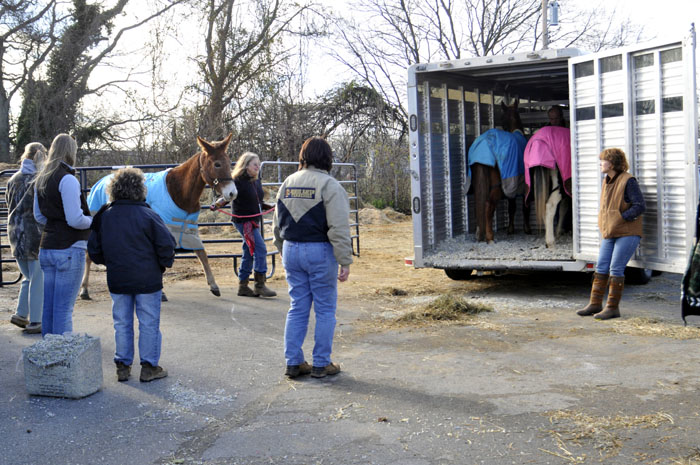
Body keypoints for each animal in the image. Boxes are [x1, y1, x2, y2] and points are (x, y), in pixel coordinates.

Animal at [79, 134, 238, 300]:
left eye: (229, 162)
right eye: (217, 164)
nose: (232, 193)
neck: (180, 190)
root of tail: (97, 184)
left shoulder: (189, 229)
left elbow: (202, 253)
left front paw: (214, 286)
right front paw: (161, 292)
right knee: (88, 256)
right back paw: (84, 289)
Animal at [467, 101, 530, 243]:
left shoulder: (512, 187)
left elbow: (512, 207)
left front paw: (511, 229)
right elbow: (523, 207)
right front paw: (526, 228)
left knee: (479, 205)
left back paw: (479, 233)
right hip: (496, 188)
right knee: (488, 205)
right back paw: (489, 236)